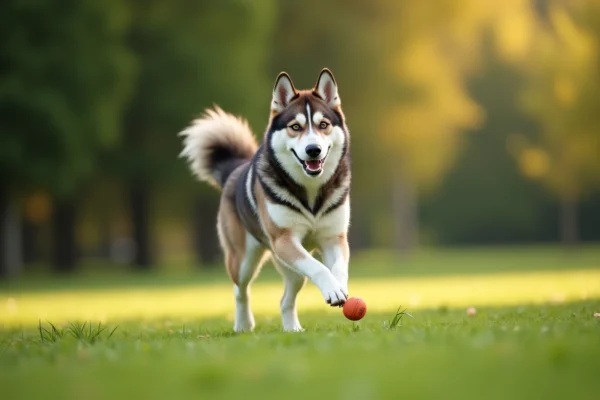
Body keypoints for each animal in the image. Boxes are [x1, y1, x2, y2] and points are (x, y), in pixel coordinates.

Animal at [178, 69, 352, 332]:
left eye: (323, 125)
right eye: (295, 127)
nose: (313, 149)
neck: (311, 193)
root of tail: (234, 170)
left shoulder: (334, 237)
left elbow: (338, 266)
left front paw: (339, 287)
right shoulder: (284, 240)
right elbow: (318, 267)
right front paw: (332, 288)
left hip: (289, 268)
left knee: (285, 299)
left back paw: (292, 329)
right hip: (244, 259)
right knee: (240, 291)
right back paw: (243, 325)